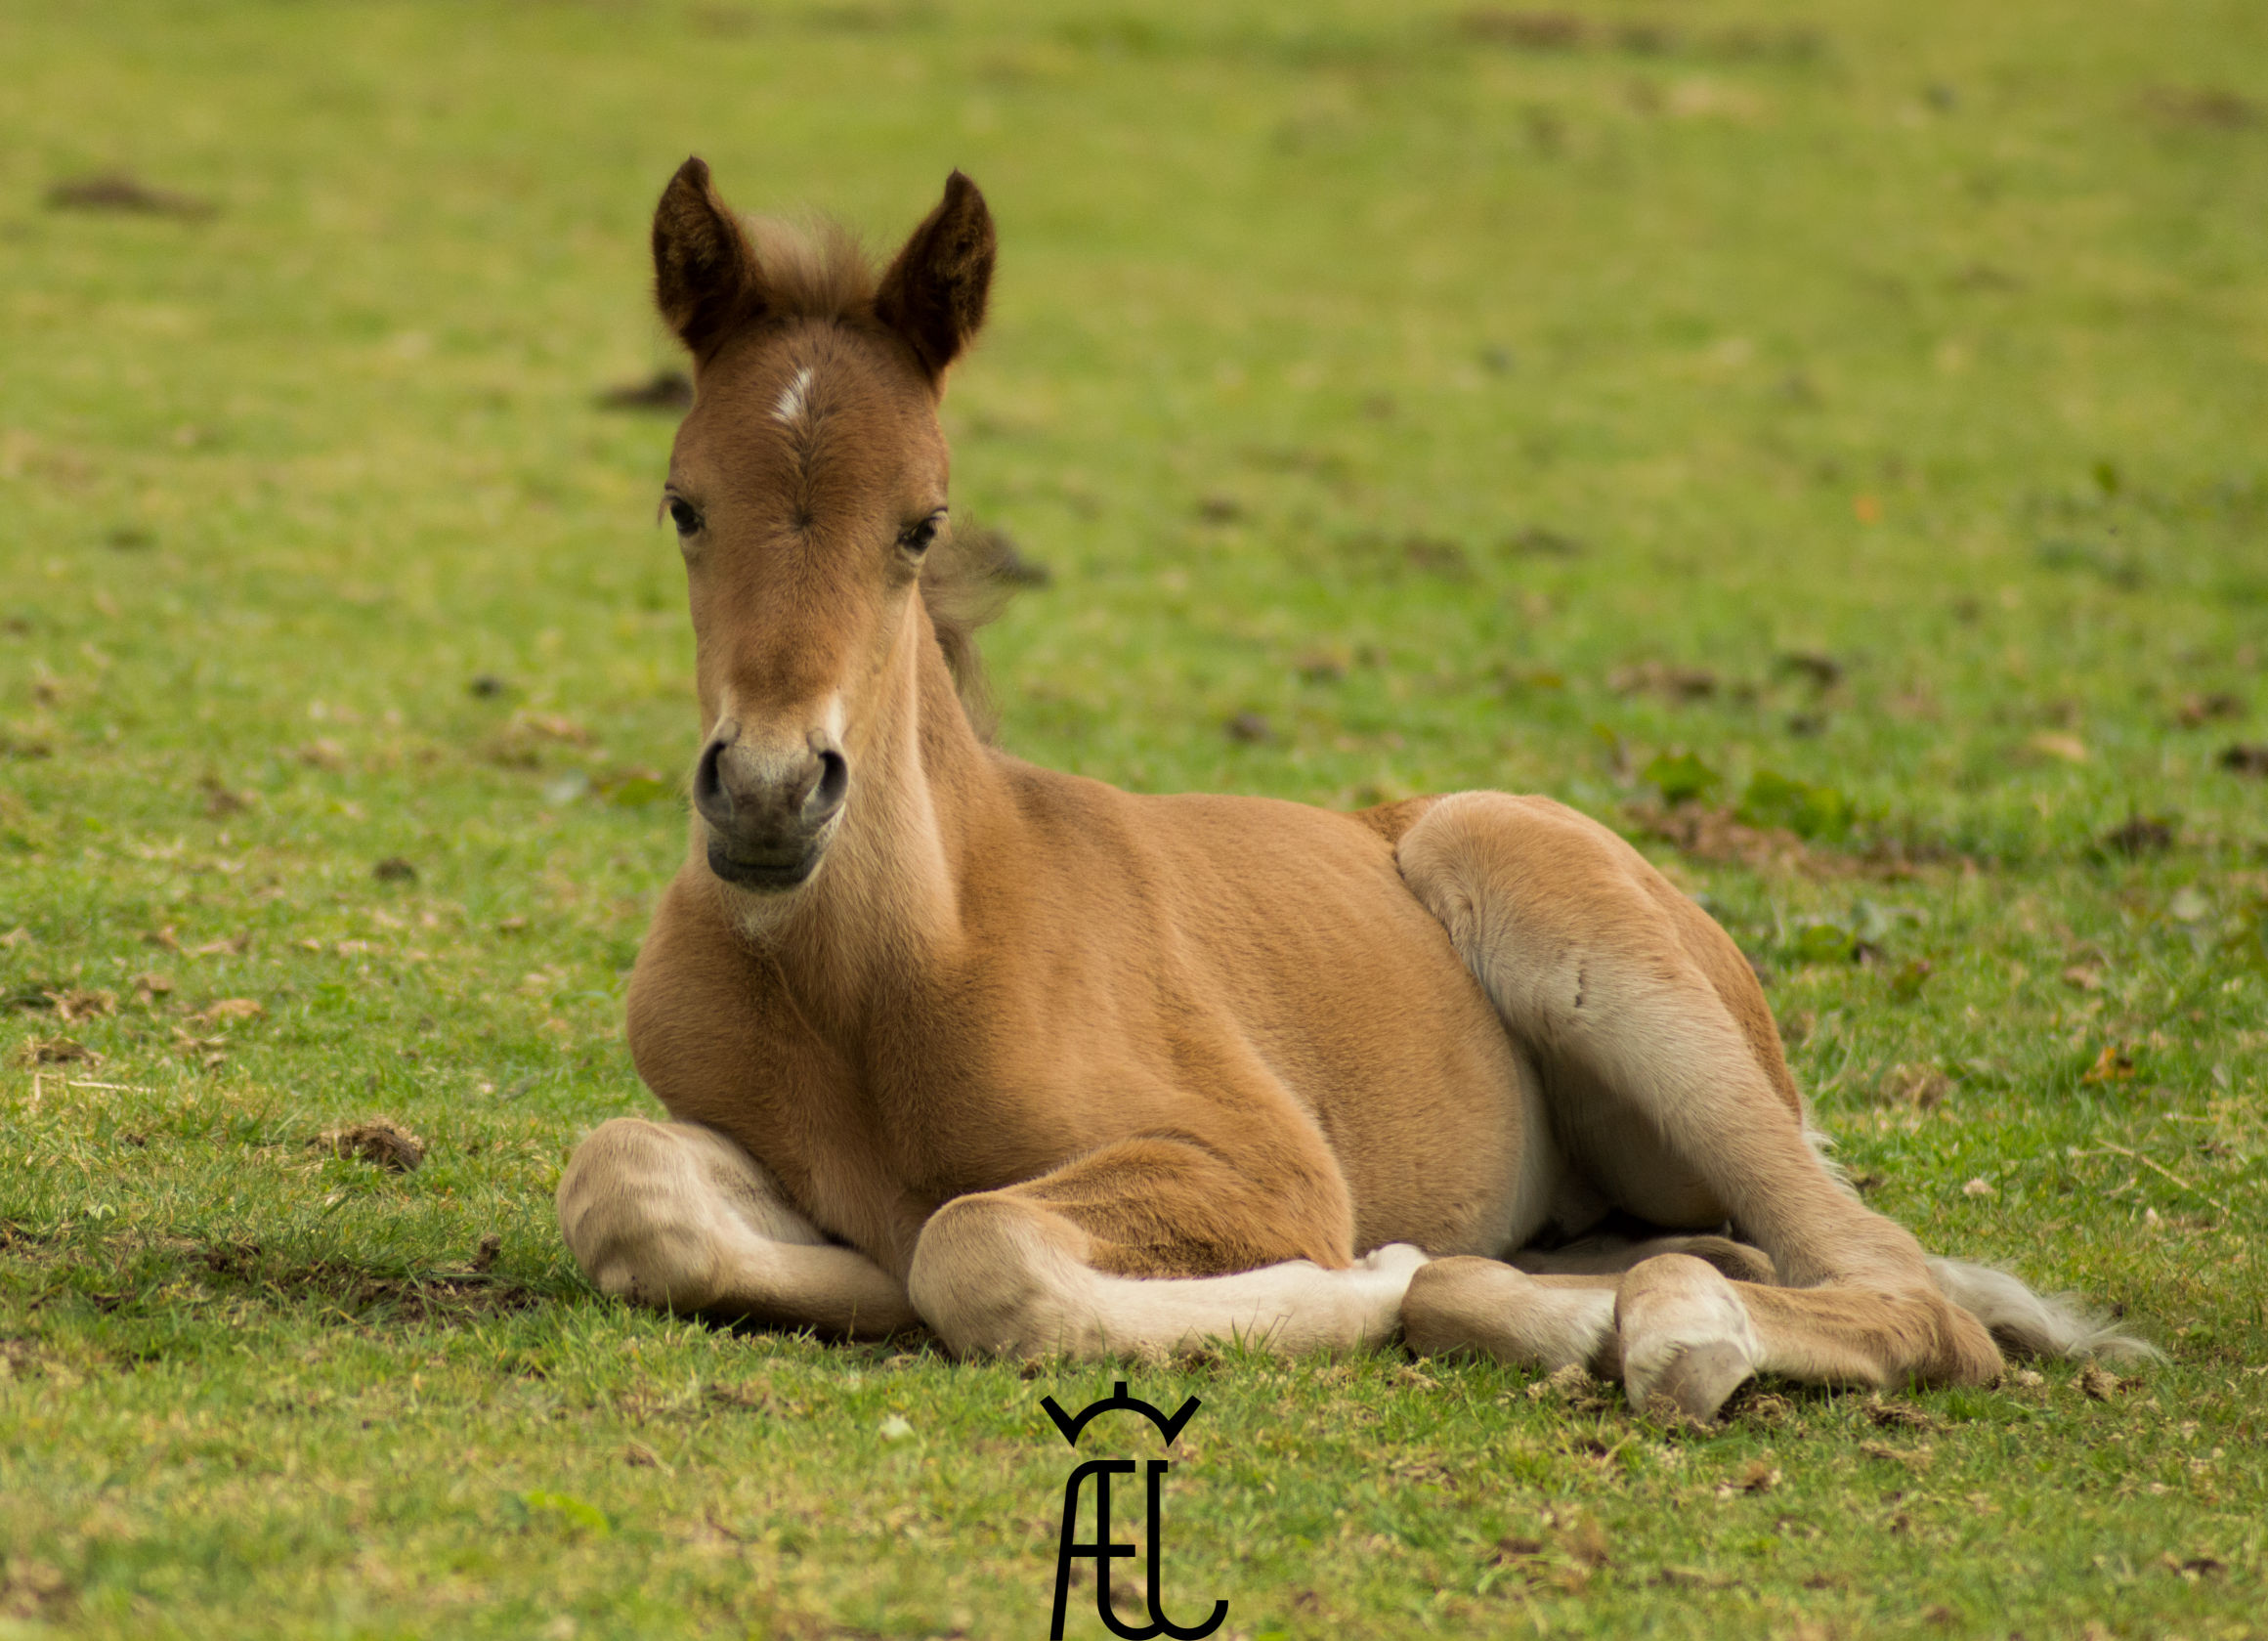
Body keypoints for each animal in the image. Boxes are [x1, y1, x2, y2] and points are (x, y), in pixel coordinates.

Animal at [553, 159, 2141, 1416]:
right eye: (683, 504)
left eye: (921, 522)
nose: (770, 793)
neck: (881, 966)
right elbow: (626, 1179)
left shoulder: (1263, 1170)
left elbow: (977, 1245)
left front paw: (1364, 1283)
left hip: (1563, 914)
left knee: (1901, 1290)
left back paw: (1650, 1326)